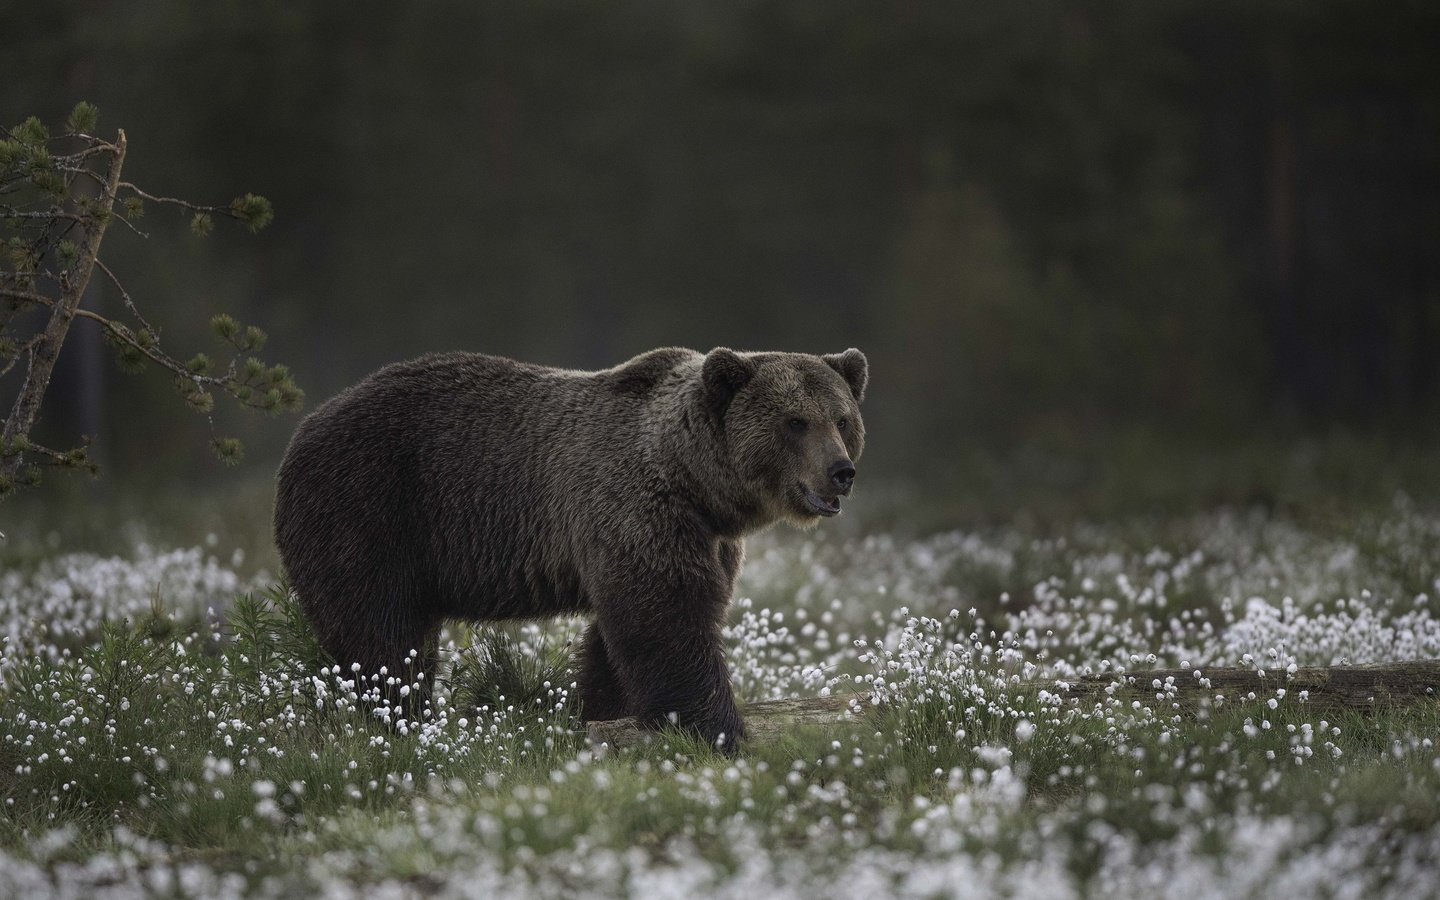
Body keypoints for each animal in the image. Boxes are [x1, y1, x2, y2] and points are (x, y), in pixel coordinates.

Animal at [276, 347, 869, 748]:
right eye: (795, 421)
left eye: (842, 419)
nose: (842, 472)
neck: (694, 483)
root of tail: (304, 428)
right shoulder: (635, 508)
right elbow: (667, 619)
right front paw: (718, 729)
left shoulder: (705, 539)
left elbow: (625, 634)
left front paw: (602, 712)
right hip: (369, 508)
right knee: (381, 634)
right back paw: (403, 715)